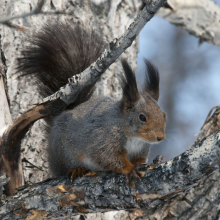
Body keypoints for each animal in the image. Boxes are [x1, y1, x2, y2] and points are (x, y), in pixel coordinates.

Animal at [16, 21, 167, 186]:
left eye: (164, 115)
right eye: (142, 117)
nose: (160, 138)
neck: (133, 136)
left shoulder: (141, 149)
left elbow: (138, 159)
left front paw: (140, 165)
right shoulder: (104, 140)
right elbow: (109, 158)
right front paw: (130, 169)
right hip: (63, 153)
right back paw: (77, 169)